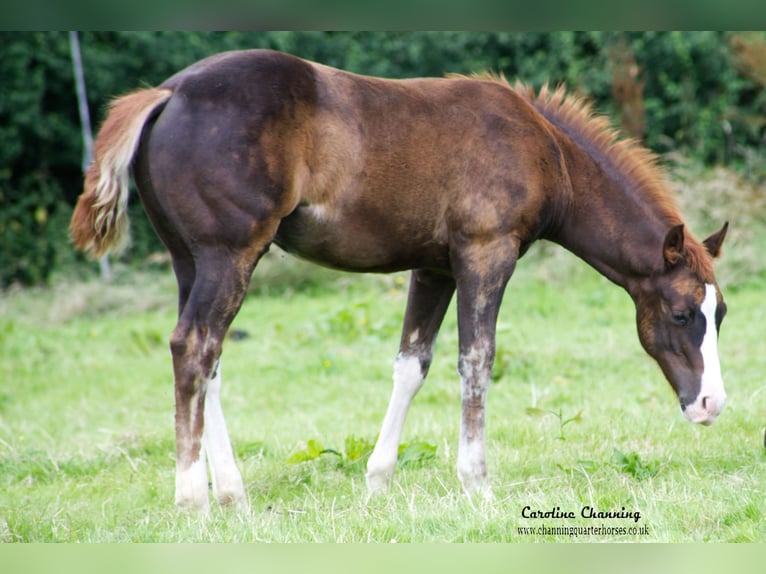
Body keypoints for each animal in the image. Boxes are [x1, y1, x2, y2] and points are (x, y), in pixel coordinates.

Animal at [69, 49, 728, 516]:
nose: (711, 405)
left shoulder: (434, 266)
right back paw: (194, 499)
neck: (547, 152)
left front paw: (378, 483)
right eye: (679, 314)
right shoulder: (486, 255)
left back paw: (233, 494)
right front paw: (477, 485)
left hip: (191, 260)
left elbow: (413, 364)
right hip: (229, 254)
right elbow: (476, 360)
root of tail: (168, 92)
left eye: (718, 315)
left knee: (209, 361)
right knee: (194, 347)